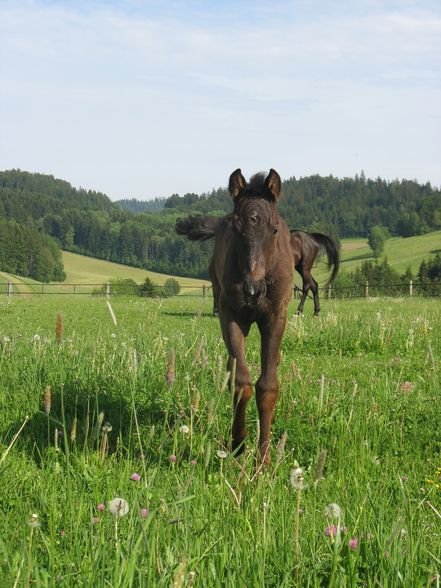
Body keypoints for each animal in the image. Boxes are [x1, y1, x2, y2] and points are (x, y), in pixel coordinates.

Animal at [175, 168, 292, 462]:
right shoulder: (230, 315)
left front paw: (264, 458)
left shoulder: (275, 317)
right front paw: (239, 445)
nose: (252, 289)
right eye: (237, 230)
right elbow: (241, 383)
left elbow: (268, 385)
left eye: (274, 229)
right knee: (232, 366)